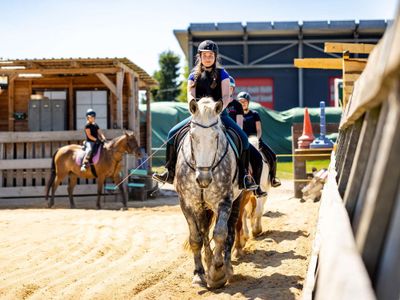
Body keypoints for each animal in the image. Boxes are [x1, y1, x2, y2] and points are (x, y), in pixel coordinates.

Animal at [174, 98, 242, 288]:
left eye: (216, 137)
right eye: (192, 136)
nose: (203, 179)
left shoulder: (225, 201)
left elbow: (220, 233)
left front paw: (217, 273)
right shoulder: (187, 203)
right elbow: (196, 238)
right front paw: (199, 274)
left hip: (236, 201)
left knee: (230, 231)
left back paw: (226, 267)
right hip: (201, 207)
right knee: (203, 231)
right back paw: (208, 260)